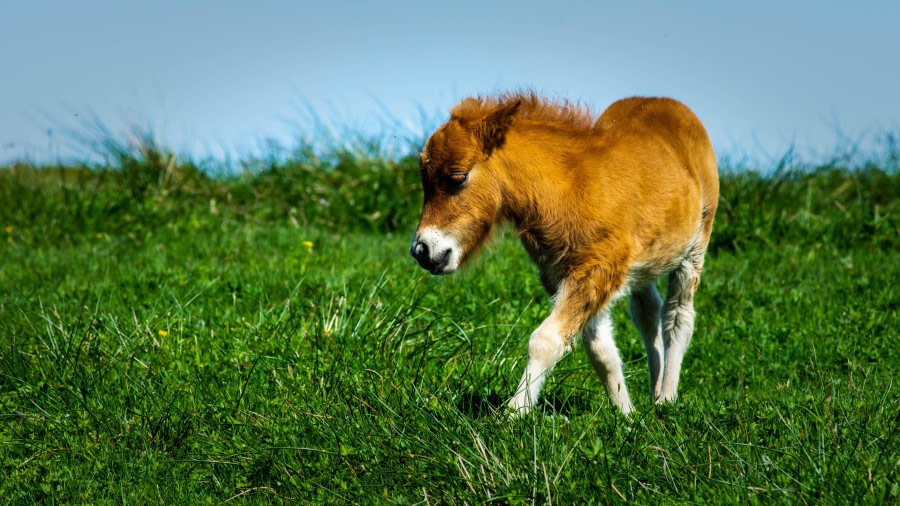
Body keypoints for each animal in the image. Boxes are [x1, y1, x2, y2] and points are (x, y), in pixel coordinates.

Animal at [412, 92, 720, 416]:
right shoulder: (564, 275)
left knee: (678, 316)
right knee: (647, 313)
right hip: (645, 264)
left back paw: (666, 399)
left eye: (457, 178)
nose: (422, 250)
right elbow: (600, 350)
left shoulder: (597, 270)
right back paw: (654, 391)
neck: (570, 190)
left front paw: (512, 415)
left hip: (695, 249)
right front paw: (626, 415)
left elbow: (545, 341)